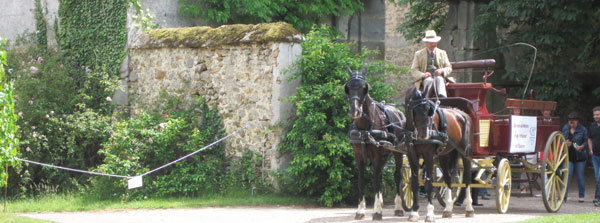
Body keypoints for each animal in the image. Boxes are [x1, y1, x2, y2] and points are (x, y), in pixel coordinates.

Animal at [344, 67, 406, 220]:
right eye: (348, 88)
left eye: (364, 88)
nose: (354, 111)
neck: (365, 128)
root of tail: (399, 112)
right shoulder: (359, 155)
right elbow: (361, 181)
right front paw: (360, 210)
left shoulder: (377, 155)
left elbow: (376, 180)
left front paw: (377, 211)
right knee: (381, 174)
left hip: (398, 152)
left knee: (397, 176)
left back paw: (398, 207)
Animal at [404, 87, 474, 221]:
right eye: (414, 110)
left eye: (428, 110)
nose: (425, 135)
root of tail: (462, 114)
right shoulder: (411, 155)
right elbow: (414, 183)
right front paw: (414, 212)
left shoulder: (428, 155)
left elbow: (429, 184)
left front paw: (430, 214)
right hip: (444, 156)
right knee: (448, 179)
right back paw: (448, 209)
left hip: (465, 153)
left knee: (467, 179)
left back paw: (469, 208)